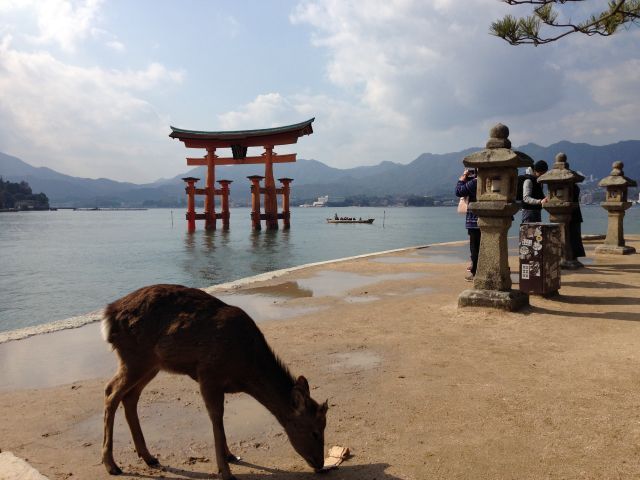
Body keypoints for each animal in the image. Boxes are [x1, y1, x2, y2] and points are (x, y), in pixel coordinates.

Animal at [101, 284, 328, 480]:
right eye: (315, 432)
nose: (320, 464)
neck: (245, 370)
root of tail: (108, 314)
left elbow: (220, 419)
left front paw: (230, 456)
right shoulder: (209, 374)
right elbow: (216, 418)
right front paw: (226, 471)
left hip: (151, 365)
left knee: (130, 397)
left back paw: (148, 457)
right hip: (135, 358)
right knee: (111, 393)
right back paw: (111, 465)